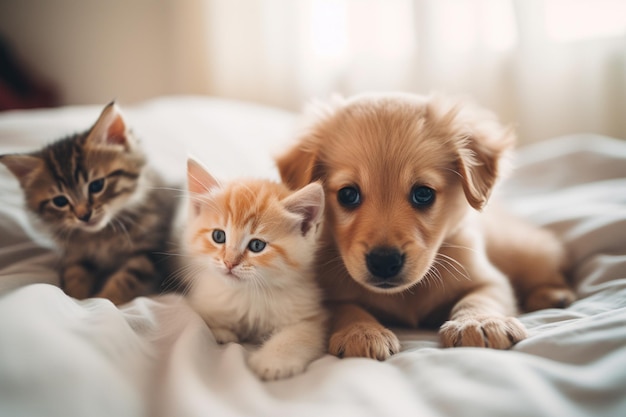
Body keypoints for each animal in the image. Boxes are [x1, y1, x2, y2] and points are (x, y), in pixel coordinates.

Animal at [0, 101, 177, 302]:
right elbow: (75, 274)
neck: (102, 235)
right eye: (60, 201)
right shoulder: (75, 254)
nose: (83, 215)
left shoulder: (149, 250)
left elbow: (127, 278)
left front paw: (106, 298)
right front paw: (76, 298)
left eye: (96, 185)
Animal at [180, 159, 326, 380]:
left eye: (257, 245)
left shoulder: (312, 317)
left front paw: (272, 361)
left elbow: (300, 335)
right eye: (218, 236)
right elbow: (205, 317)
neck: (248, 294)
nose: (229, 262)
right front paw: (222, 333)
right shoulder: (203, 298)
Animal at [276, 93, 572, 358]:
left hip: (521, 248)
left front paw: (478, 322)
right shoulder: (327, 294)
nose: (384, 261)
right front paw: (361, 331)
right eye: (348, 195)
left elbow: (481, 297)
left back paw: (552, 294)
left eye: (423, 194)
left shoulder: (488, 278)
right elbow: (346, 308)